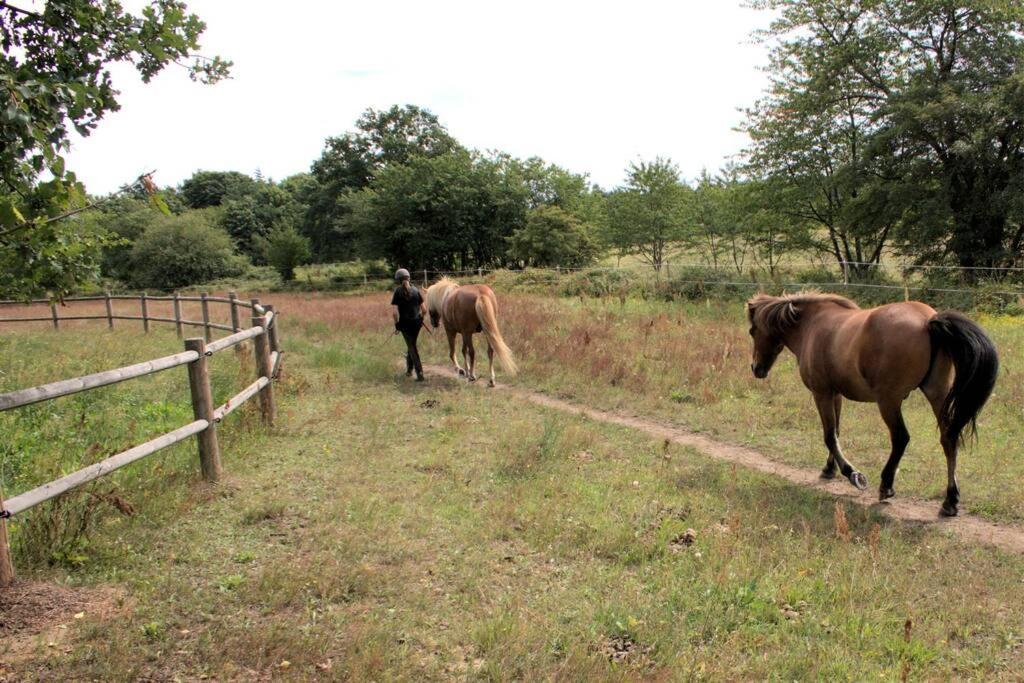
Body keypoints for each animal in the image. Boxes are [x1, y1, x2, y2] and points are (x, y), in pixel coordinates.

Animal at [745, 290, 999, 516]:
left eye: (752, 331)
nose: (756, 368)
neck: (811, 325)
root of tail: (928, 321)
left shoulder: (822, 393)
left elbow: (829, 435)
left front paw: (852, 474)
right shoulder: (835, 394)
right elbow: (836, 432)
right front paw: (829, 469)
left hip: (889, 401)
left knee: (901, 438)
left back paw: (886, 486)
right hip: (937, 394)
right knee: (948, 439)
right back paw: (950, 501)